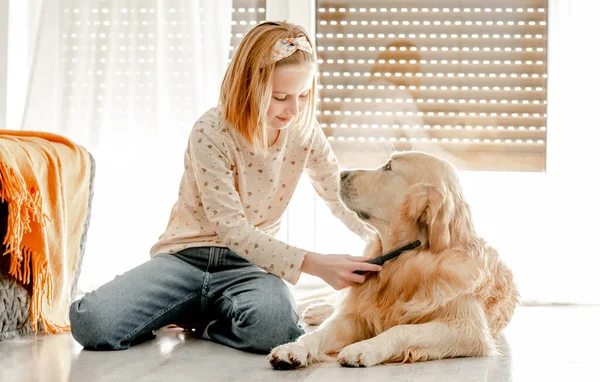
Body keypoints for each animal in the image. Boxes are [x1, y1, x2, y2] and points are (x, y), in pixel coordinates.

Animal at [270, 151, 516, 368]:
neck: (402, 261)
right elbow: (320, 334)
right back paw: (314, 309)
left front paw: (365, 348)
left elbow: (402, 329)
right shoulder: (353, 316)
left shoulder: (467, 329)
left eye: (388, 167)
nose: (341, 173)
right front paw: (294, 348)